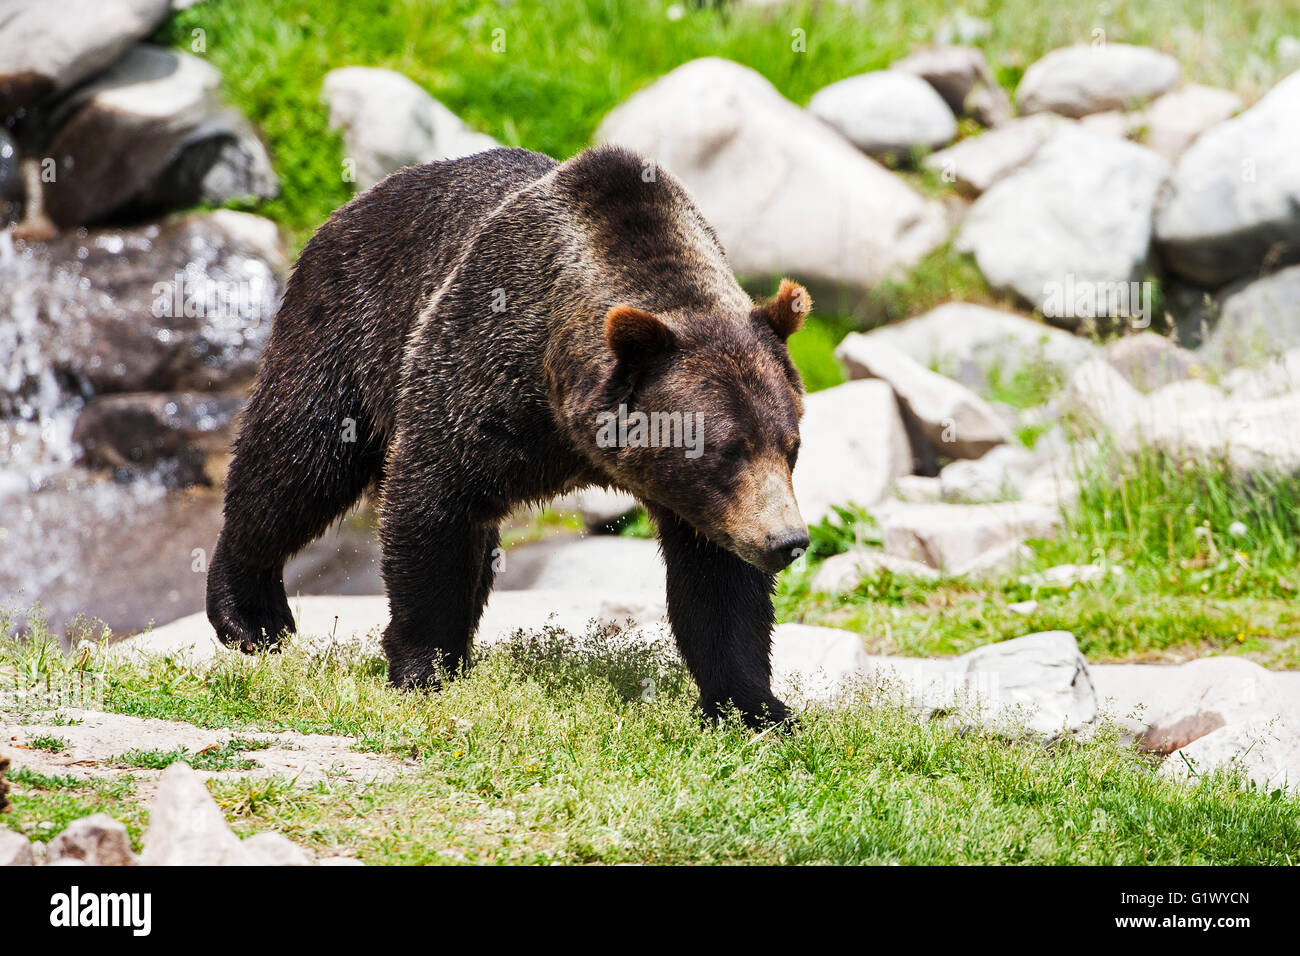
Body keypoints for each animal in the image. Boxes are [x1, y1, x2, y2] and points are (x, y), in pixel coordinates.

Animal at [206, 143, 806, 723]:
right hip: (346, 328)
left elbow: (719, 584)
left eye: (791, 445)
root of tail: (349, 207)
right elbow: (431, 505)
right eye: (727, 450)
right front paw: (421, 668)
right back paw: (250, 616)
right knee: (297, 461)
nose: (789, 541)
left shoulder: (694, 500)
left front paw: (754, 707)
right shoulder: (482, 367)